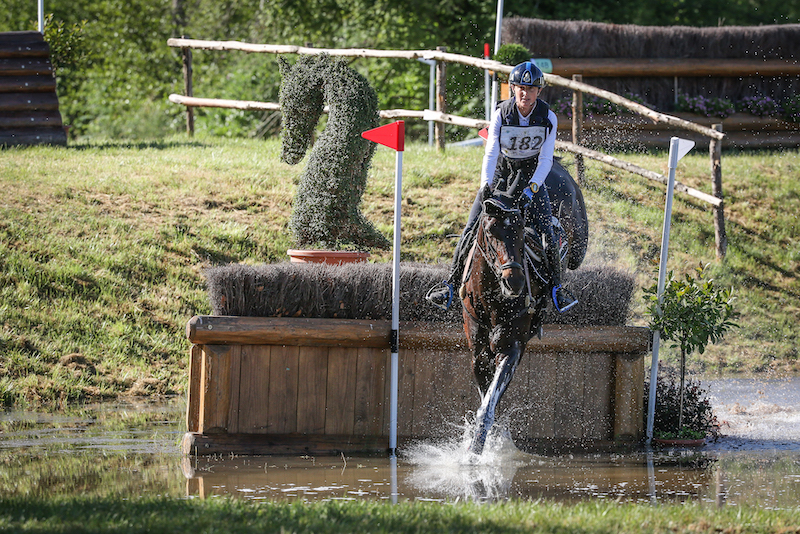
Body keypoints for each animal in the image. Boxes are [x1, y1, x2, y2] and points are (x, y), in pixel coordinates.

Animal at [456, 160, 588, 456]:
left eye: (520, 229)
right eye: (490, 231)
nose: (514, 281)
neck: (492, 296)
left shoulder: (512, 348)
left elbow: (489, 404)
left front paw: (478, 451)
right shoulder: (478, 352)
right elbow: (486, 397)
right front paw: (479, 445)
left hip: (578, 240)